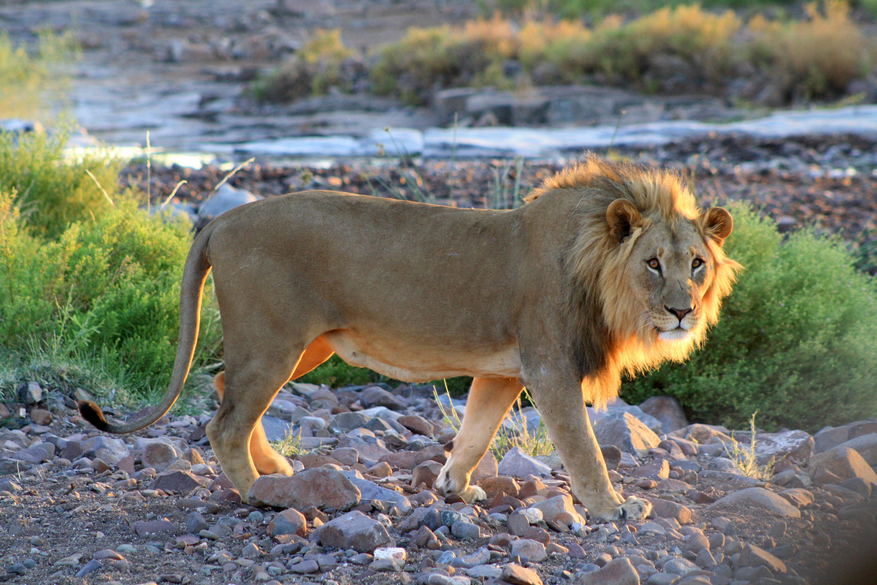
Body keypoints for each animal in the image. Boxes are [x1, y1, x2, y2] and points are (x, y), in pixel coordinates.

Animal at [80, 156, 740, 520]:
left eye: (696, 264)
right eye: (653, 263)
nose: (682, 312)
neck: (596, 265)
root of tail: (219, 219)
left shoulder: (504, 371)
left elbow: (475, 432)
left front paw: (454, 488)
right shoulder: (550, 367)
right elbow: (583, 449)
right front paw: (610, 508)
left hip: (306, 346)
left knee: (223, 388)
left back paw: (277, 472)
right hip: (275, 343)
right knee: (224, 423)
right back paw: (261, 495)